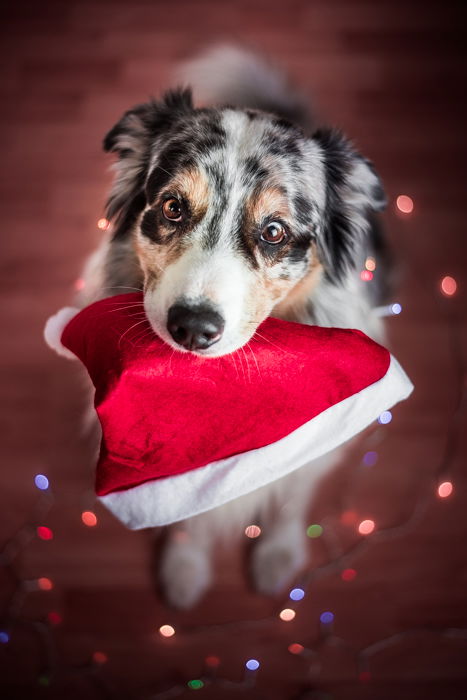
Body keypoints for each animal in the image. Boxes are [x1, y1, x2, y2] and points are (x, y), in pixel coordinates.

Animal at [77, 46, 390, 608]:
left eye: (274, 232)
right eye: (173, 207)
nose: (192, 328)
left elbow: (290, 498)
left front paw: (277, 558)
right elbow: (184, 510)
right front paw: (184, 568)